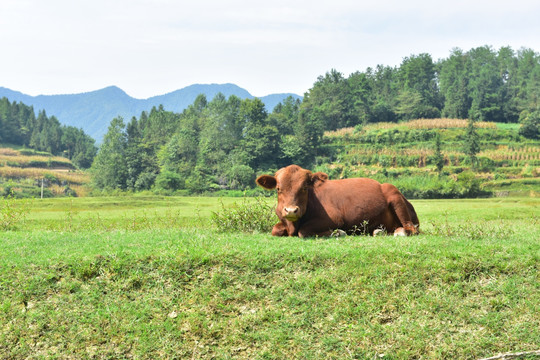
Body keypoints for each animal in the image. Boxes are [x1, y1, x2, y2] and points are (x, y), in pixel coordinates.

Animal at [255, 165, 420, 238]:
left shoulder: (335, 218)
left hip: (394, 194)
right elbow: (275, 230)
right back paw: (379, 231)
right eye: (278, 188)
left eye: (304, 188)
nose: (290, 210)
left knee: (411, 228)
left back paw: (401, 231)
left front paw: (338, 233)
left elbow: (303, 231)